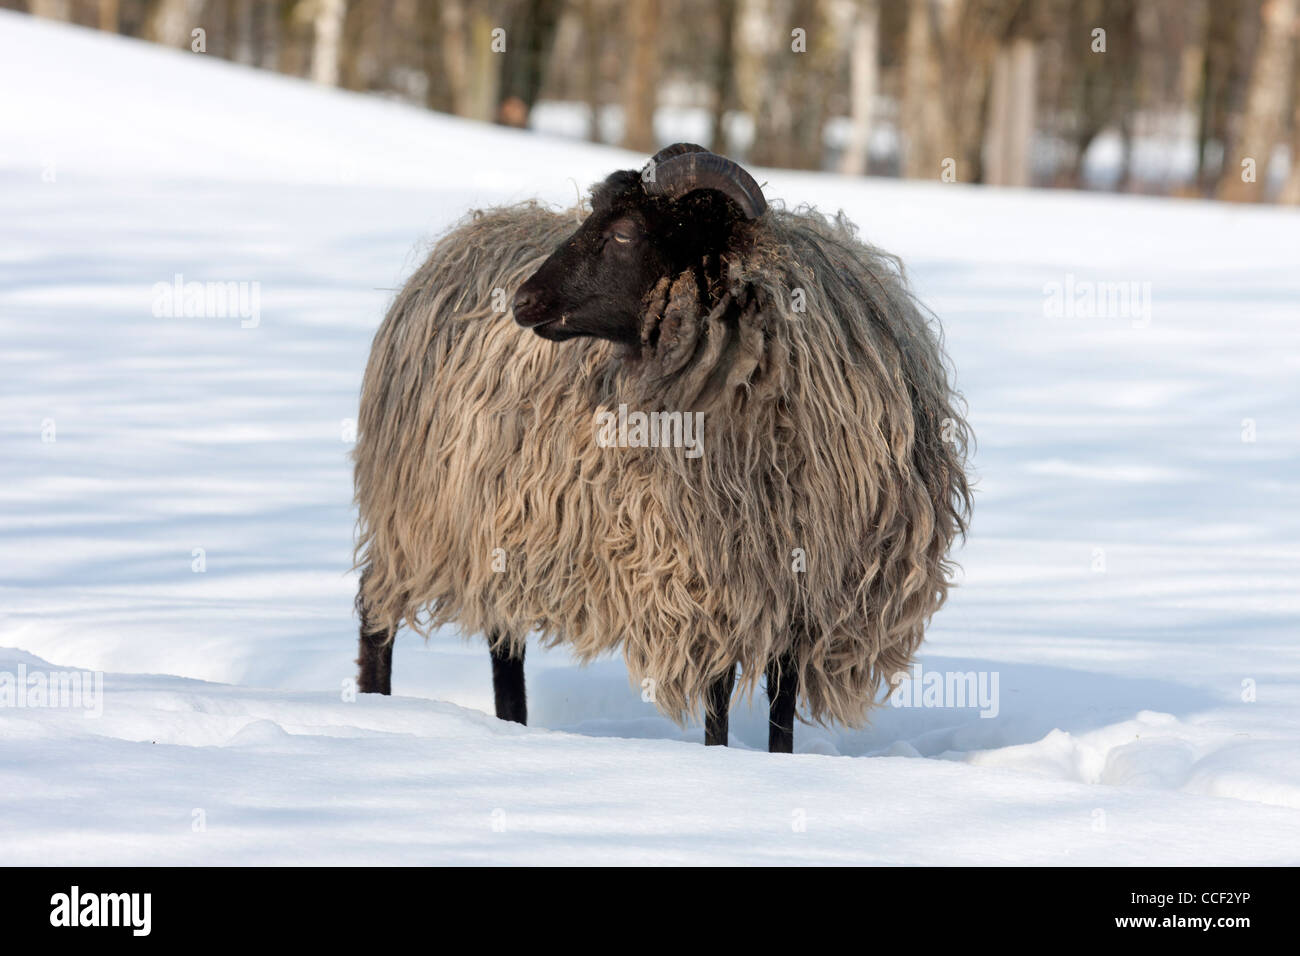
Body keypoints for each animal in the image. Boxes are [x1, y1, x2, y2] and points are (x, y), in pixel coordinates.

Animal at [351, 143, 972, 754]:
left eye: (626, 232)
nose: (523, 300)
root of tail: (467, 235)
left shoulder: (804, 592)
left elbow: (782, 703)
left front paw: (781, 766)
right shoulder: (706, 583)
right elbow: (718, 701)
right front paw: (719, 762)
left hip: (498, 534)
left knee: (503, 639)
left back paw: (511, 726)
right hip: (417, 519)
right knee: (376, 612)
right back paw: (377, 711)